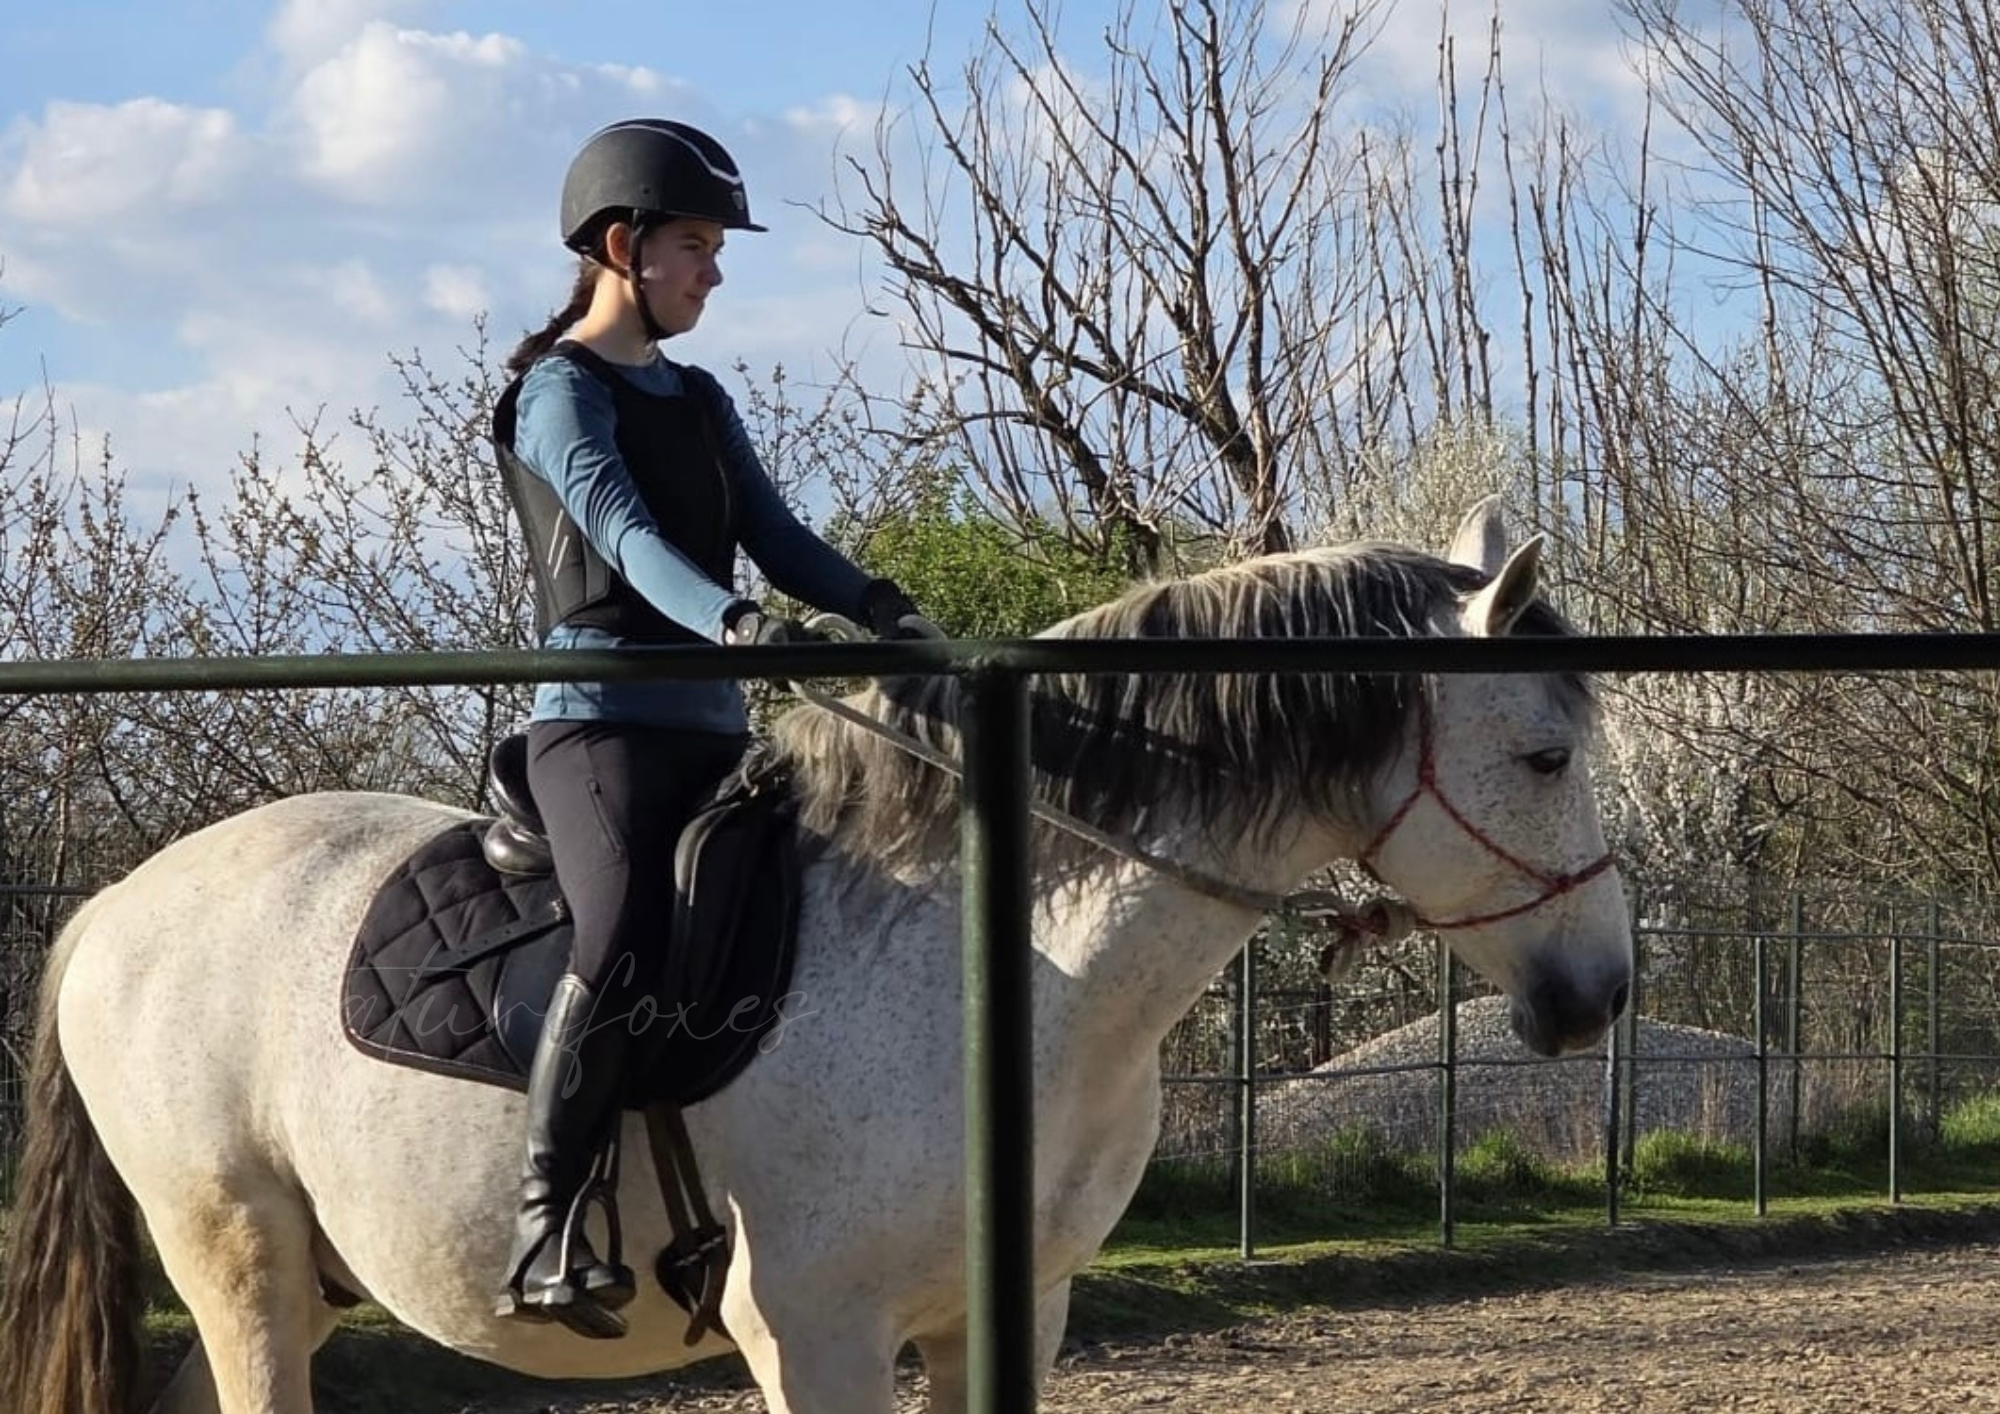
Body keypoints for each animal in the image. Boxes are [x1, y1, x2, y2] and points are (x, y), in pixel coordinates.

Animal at [0, 500, 1631, 1414]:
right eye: (1545, 754)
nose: (1598, 994)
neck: (990, 967)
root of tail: (119, 904)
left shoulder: (1004, 1314)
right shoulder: (813, 1332)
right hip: (239, 1260)